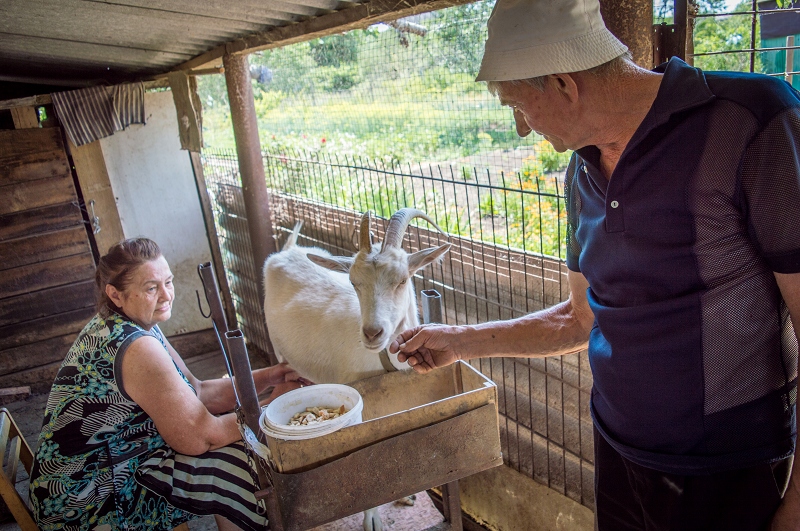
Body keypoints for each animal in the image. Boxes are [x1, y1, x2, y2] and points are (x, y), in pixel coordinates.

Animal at [262, 209, 450, 531]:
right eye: (353, 282)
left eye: (402, 280)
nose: (373, 333)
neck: (383, 359)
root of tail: (287, 251)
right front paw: (372, 519)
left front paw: (405, 494)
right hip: (279, 350)